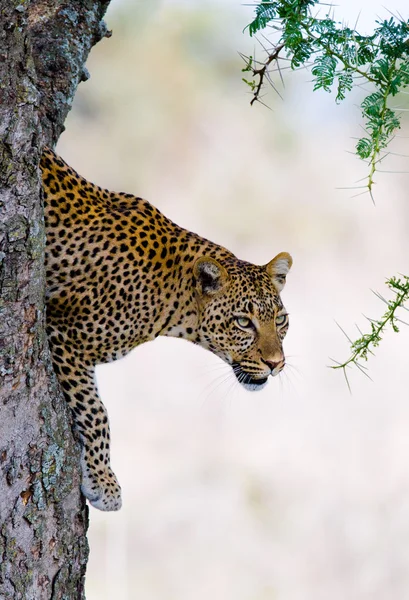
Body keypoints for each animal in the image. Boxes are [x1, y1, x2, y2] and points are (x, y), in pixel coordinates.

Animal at [40, 149, 290, 510]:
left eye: (280, 320)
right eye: (244, 322)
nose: (276, 364)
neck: (173, 295)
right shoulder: (63, 332)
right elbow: (96, 411)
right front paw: (104, 483)